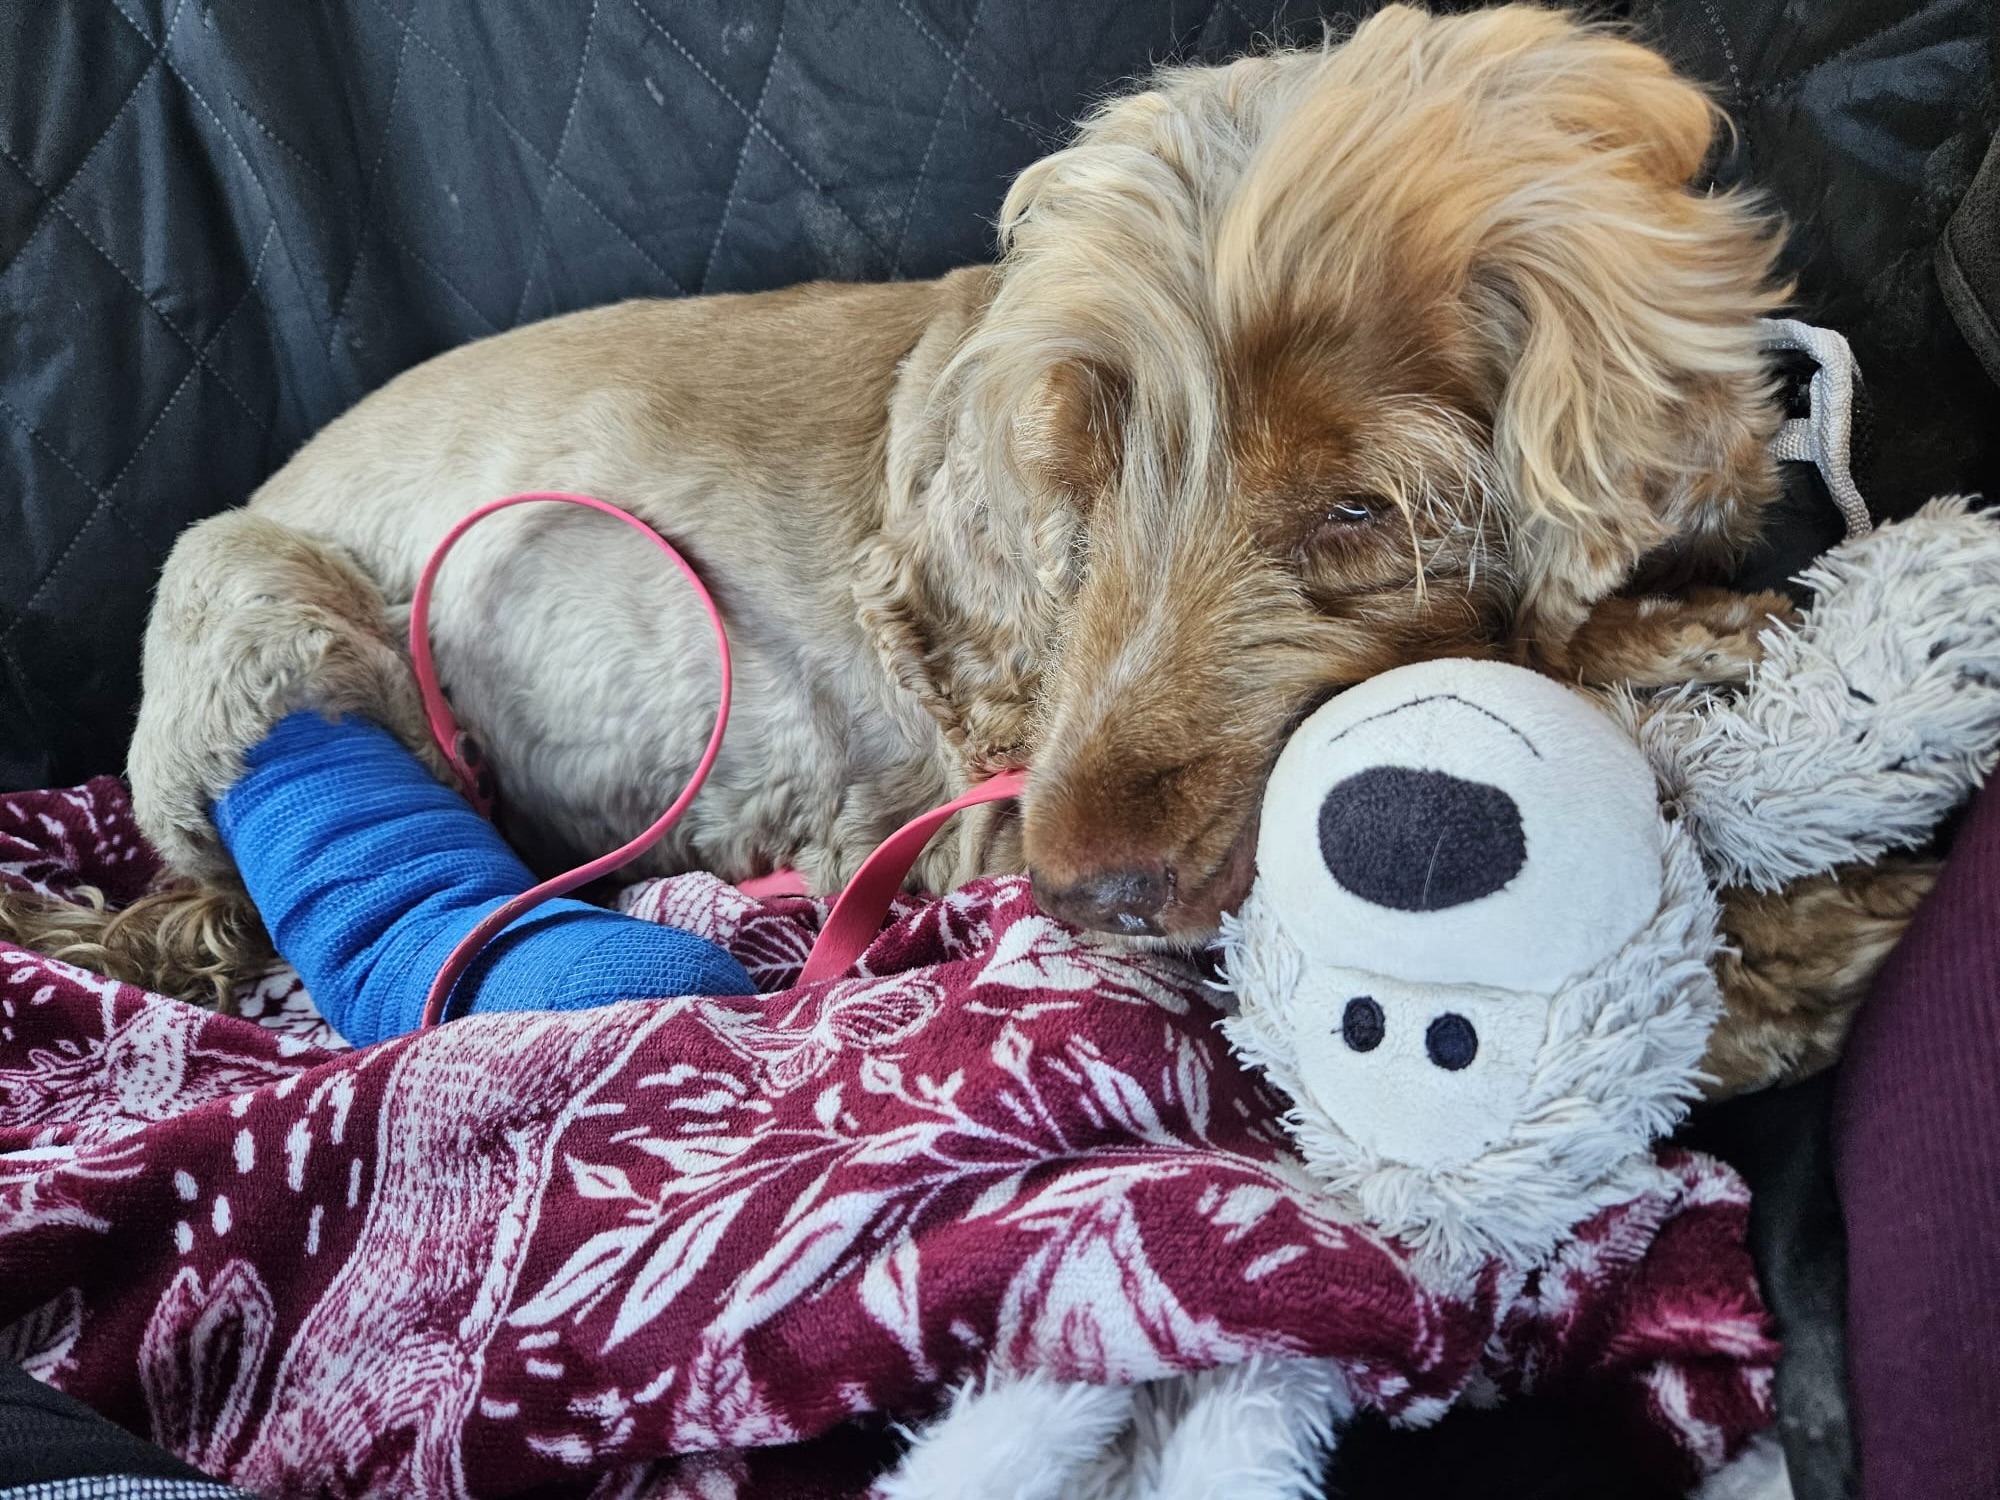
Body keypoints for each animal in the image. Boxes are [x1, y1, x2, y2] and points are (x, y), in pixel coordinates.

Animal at [2, 5, 1929, 1093]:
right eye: (1078, 489)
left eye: (1358, 512)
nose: (1090, 897)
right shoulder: (994, 805)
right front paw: (1760, 948)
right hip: (252, 596)